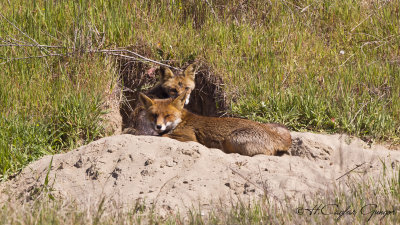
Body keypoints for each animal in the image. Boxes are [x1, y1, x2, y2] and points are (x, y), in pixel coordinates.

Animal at [139, 90, 292, 156]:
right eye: (154, 115)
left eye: (167, 116)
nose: (158, 126)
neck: (180, 121)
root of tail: (272, 134)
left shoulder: (190, 137)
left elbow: (162, 136)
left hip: (231, 139)